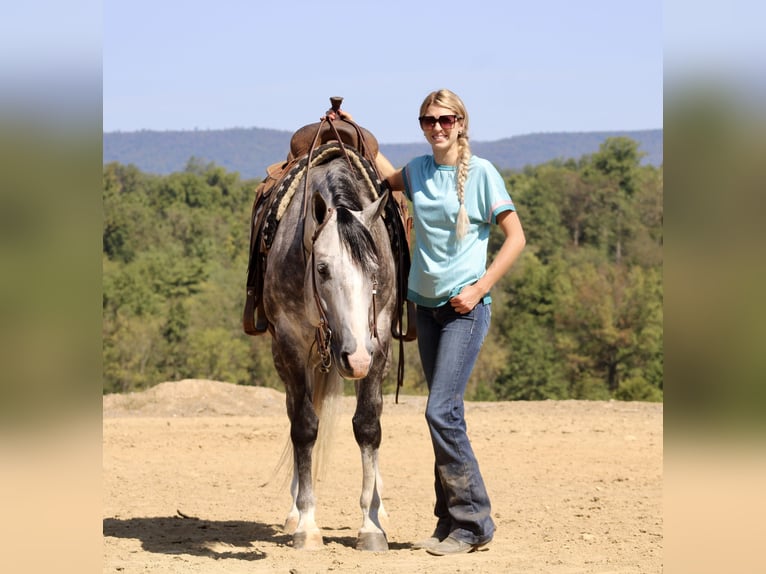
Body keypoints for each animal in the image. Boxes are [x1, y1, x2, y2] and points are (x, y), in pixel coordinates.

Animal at [262, 144, 400, 552]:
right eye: (322, 269)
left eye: (374, 270)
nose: (355, 358)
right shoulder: (290, 344)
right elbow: (305, 427)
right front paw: (307, 524)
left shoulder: (378, 341)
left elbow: (368, 425)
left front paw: (371, 525)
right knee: (295, 415)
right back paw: (294, 511)